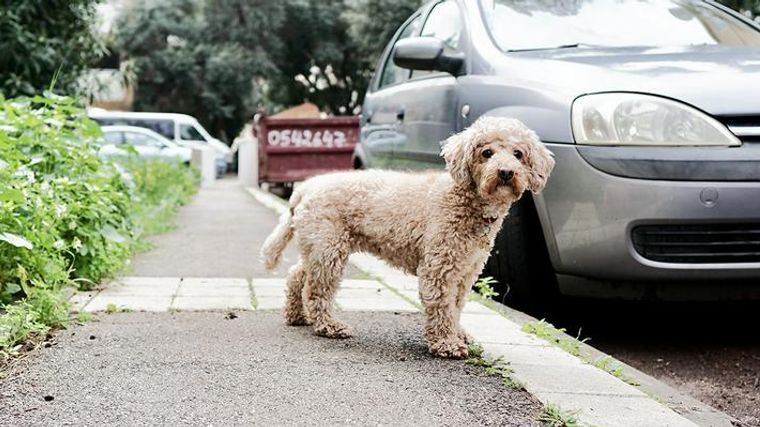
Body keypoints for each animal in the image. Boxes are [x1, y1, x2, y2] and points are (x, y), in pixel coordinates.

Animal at [264, 116, 556, 358]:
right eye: (487, 153)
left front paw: (458, 334)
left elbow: (456, 305)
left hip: (319, 245)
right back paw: (328, 325)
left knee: (297, 275)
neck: (463, 200)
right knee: (317, 289)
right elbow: (442, 306)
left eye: (518, 154)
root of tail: (304, 189)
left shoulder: (466, 270)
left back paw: (296, 315)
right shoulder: (440, 267)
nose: (506, 172)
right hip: (328, 248)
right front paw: (447, 343)